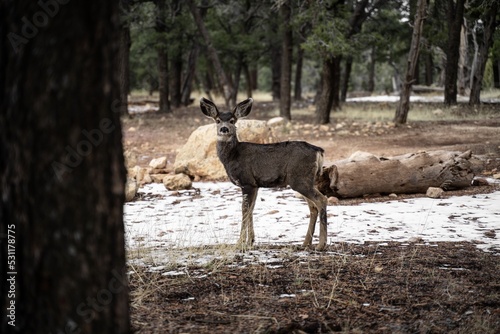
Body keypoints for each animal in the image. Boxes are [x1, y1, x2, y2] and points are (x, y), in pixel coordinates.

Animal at [199, 96, 328, 250]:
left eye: (232, 120)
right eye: (217, 120)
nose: (224, 129)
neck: (232, 156)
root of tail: (319, 151)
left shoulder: (246, 181)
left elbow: (244, 210)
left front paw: (240, 242)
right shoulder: (255, 185)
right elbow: (251, 210)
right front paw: (251, 241)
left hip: (299, 179)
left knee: (321, 200)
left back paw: (321, 244)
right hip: (305, 180)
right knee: (313, 206)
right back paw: (305, 243)